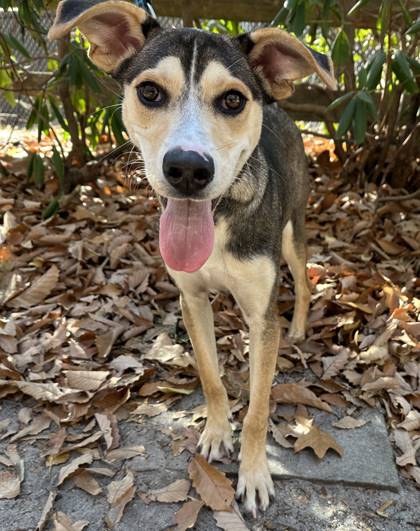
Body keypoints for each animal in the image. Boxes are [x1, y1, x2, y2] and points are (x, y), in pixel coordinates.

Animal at [49, 0, 336, 516]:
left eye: (233, 101)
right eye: (149, 91)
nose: (187, 168)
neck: (218, 217)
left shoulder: (262, 315)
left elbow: (259, 407)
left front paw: (254, 473)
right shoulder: (192, 300)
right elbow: (210, 375)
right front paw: (217, 433)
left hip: (292, 234)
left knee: (304, 282)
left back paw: (301, 328)